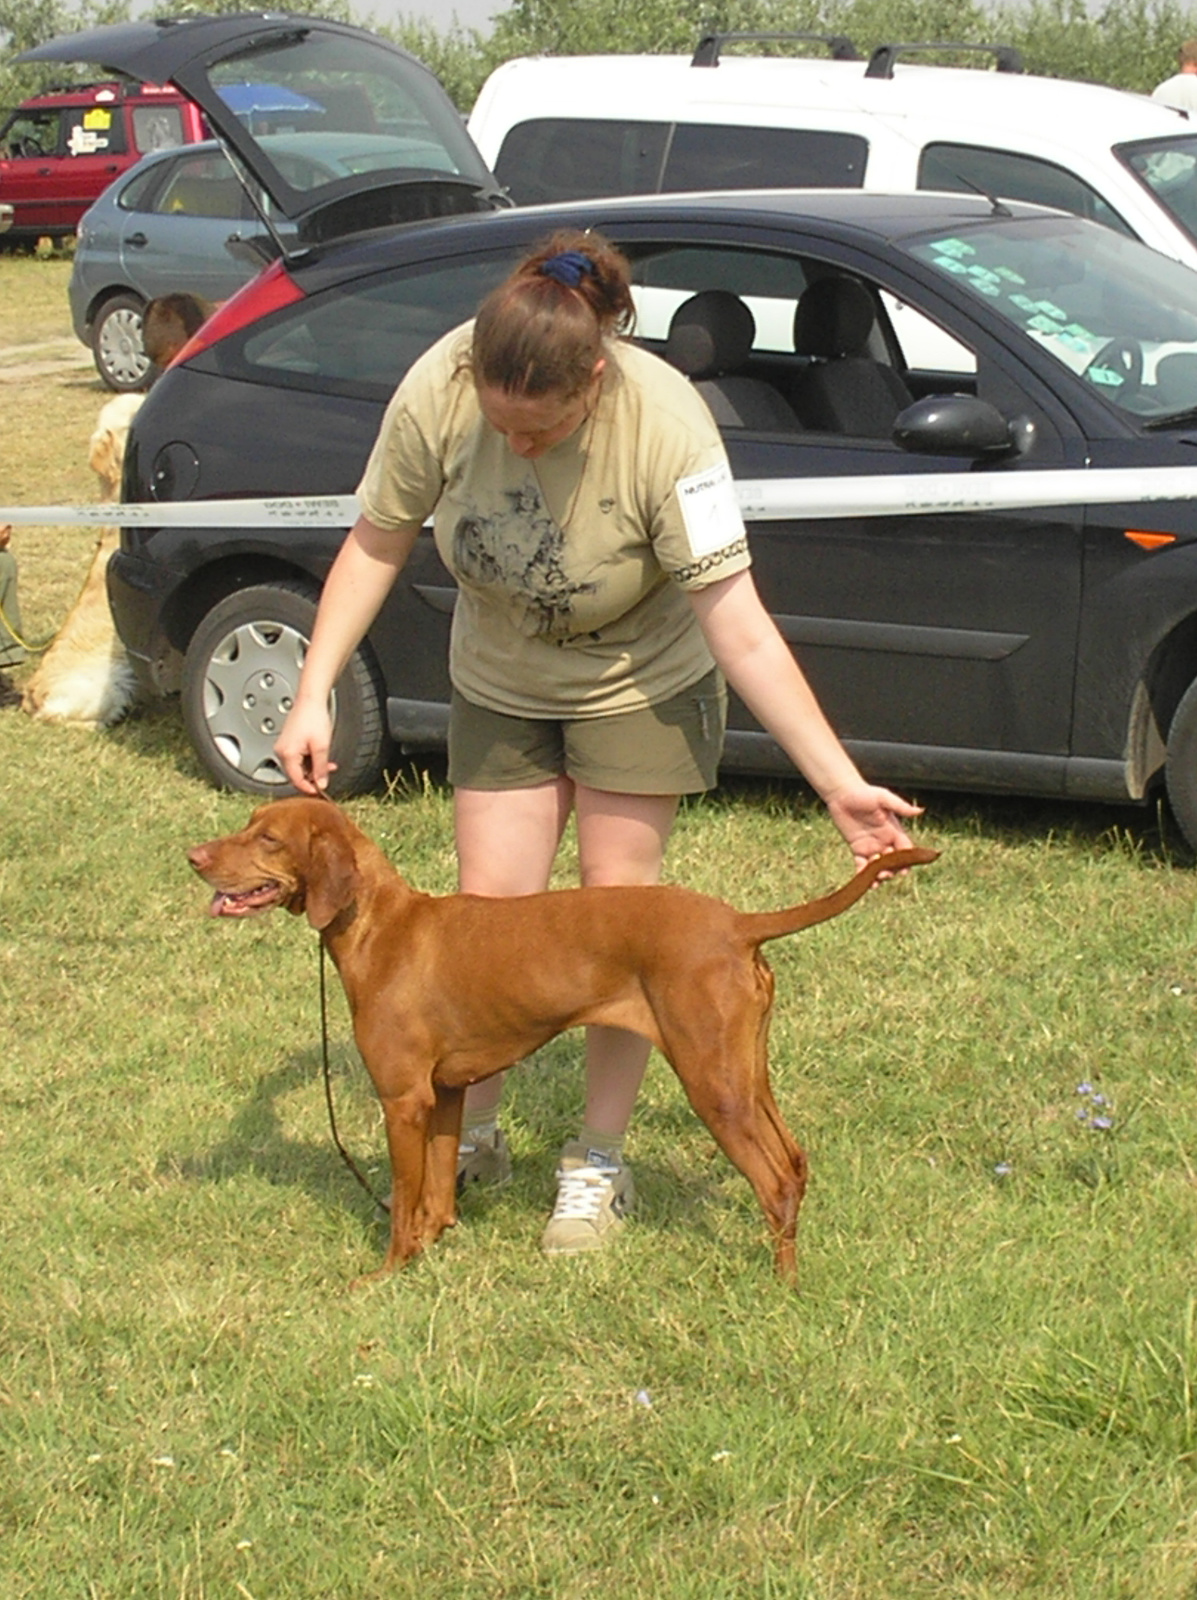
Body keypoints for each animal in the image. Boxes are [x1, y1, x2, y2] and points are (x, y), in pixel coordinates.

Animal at [189, 800, 934, 1286]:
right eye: (248, 824)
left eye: (268, 838)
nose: (194, 857)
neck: (382, 926)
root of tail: (737, 923)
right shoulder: (446, 1093)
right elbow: (435, 1193)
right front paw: (432, 1248)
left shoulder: (402, 1098)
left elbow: (403, 1197)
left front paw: (386, 1275)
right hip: (744, 1073)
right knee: (796, 1162)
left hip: (712, 1082)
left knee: (776, 1180)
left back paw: (781, 1286)